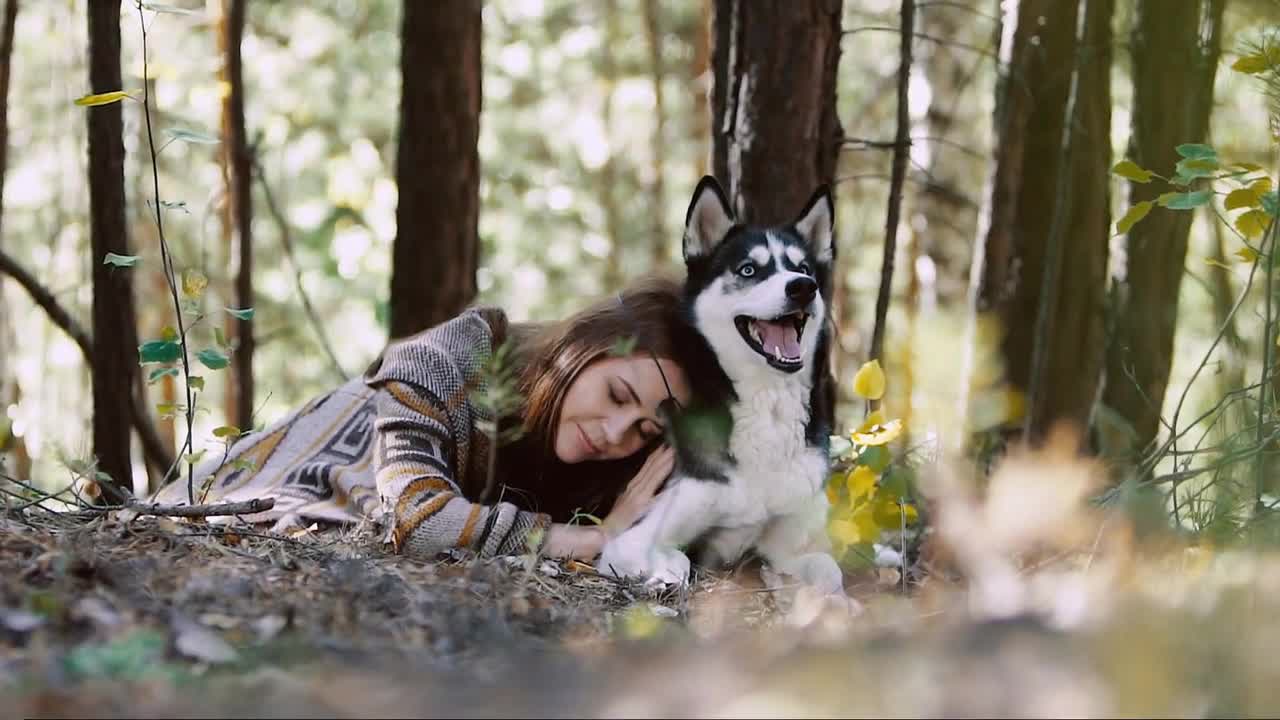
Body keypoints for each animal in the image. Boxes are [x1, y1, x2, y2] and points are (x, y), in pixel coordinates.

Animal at [599, 174, 849, 594]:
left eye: (804, 268)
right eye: (748, 270)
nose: (802, 287)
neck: (767, 406)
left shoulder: (791, 545)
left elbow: (830, 570)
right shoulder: (629, 539)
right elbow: (676, 557)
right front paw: (666, 574)